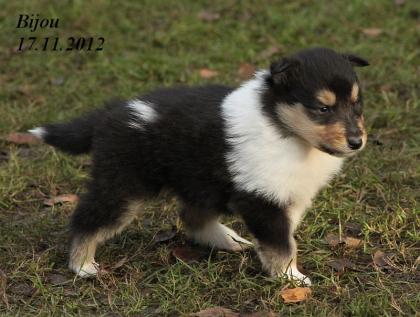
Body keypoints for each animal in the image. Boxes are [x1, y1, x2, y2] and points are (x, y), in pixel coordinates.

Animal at [31, 47, 370, 284]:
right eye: (322, 108)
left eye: (356, 104)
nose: (357, 142)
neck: (283, 128)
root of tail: (108, 114)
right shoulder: (263, 199)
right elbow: (281, 244)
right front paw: (292, 278)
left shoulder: (289, 195)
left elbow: (285, 238)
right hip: (123, 184)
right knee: (87, 218)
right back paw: (82, 265)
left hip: (199, 179)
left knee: (193, 217)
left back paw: (229, 240)